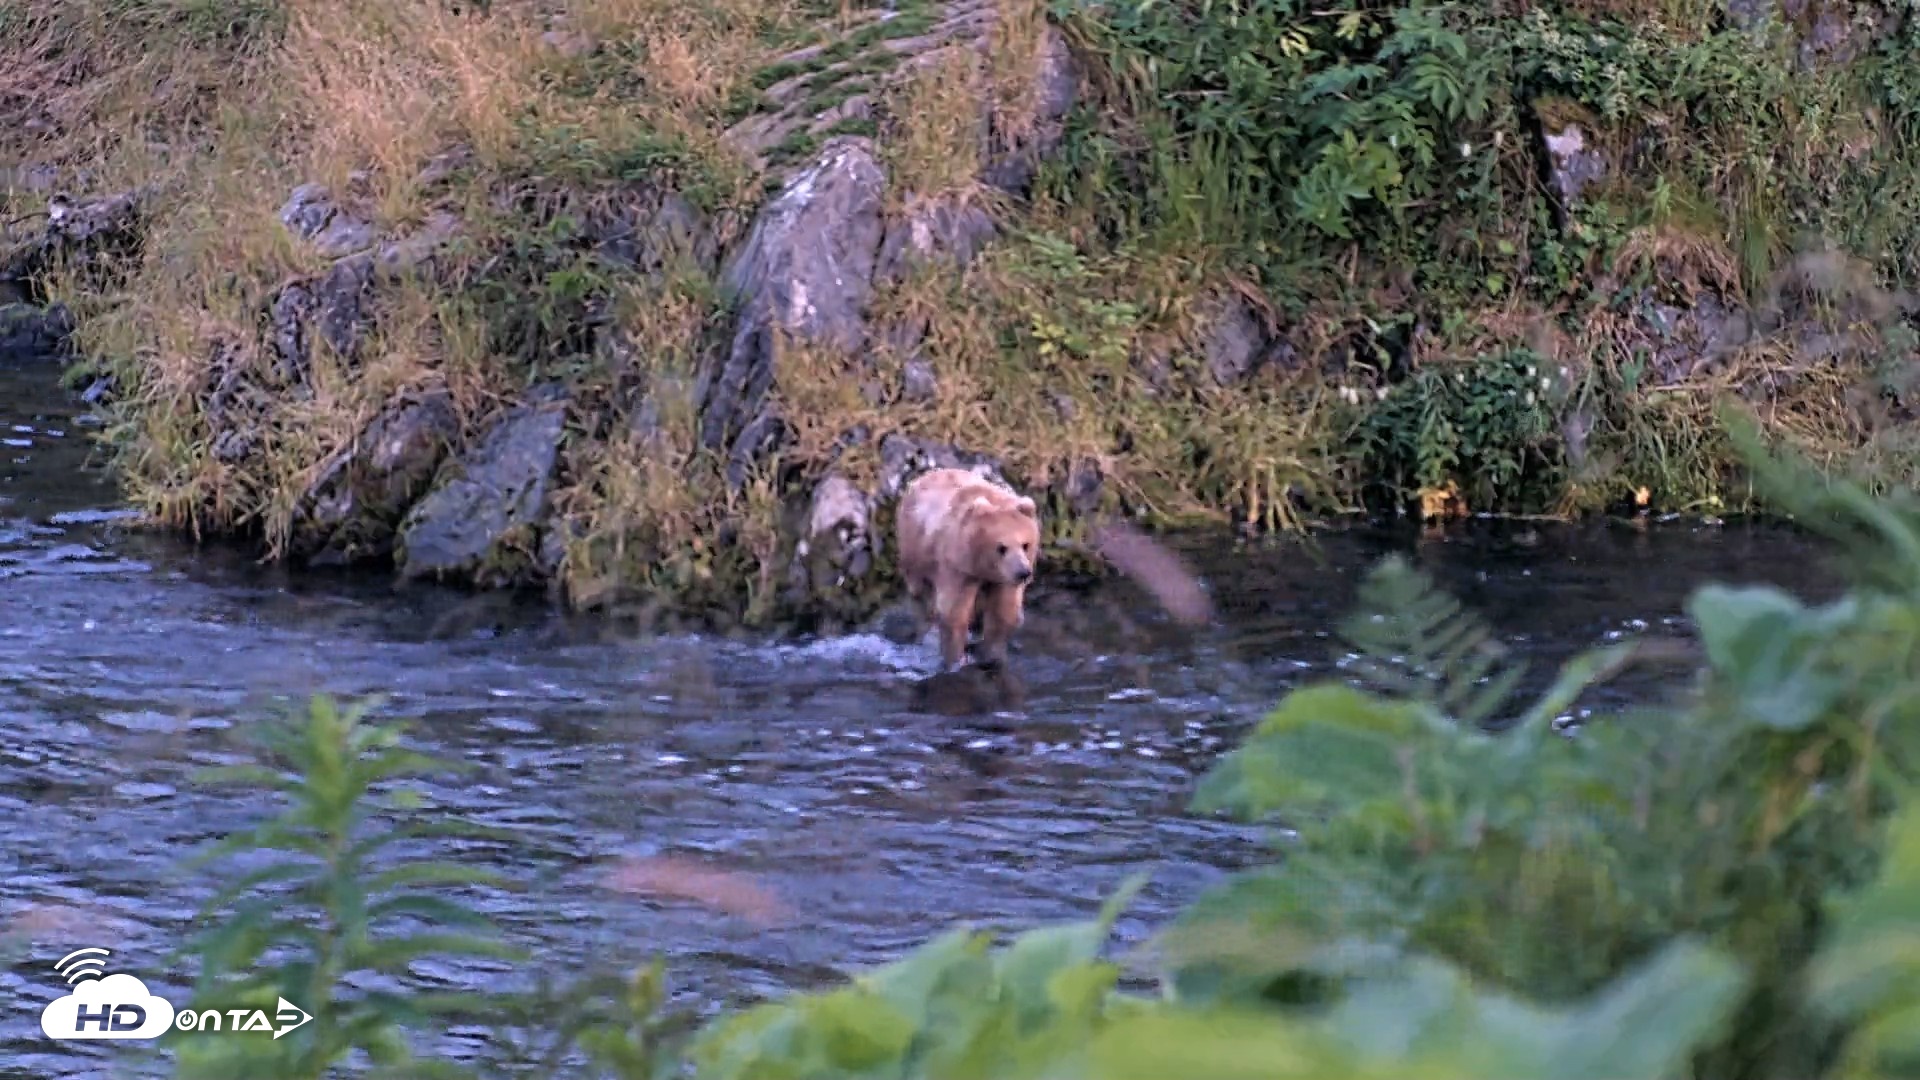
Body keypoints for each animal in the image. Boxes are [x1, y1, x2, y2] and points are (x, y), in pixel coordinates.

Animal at [895, 467, 1042, 672]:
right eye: (1001, 547)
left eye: (1025, 544)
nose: (1023, 573)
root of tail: (923, 476)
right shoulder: (957, 567)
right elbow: (954, 612)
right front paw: (956, 660)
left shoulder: (1003, 579)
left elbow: (1003, 611)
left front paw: (993, 656)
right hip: (914, 550)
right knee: (920, 592)